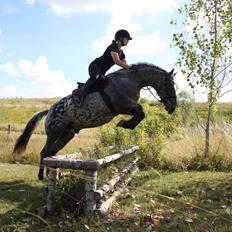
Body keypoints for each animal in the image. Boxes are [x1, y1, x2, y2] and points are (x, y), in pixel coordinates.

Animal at [12, 63, 177, 179]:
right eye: (169, 85)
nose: (173, 107)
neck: (133, 80)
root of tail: (49, 110)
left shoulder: (124, 106)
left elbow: (141, 113)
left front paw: (125, 124)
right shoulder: (121, 105)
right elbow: (140, 111)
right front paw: (125, 124)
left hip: (67, 134)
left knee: (51, 152)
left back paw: (49, 174)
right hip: (54, 132)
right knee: (45, 152)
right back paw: (41, 176)